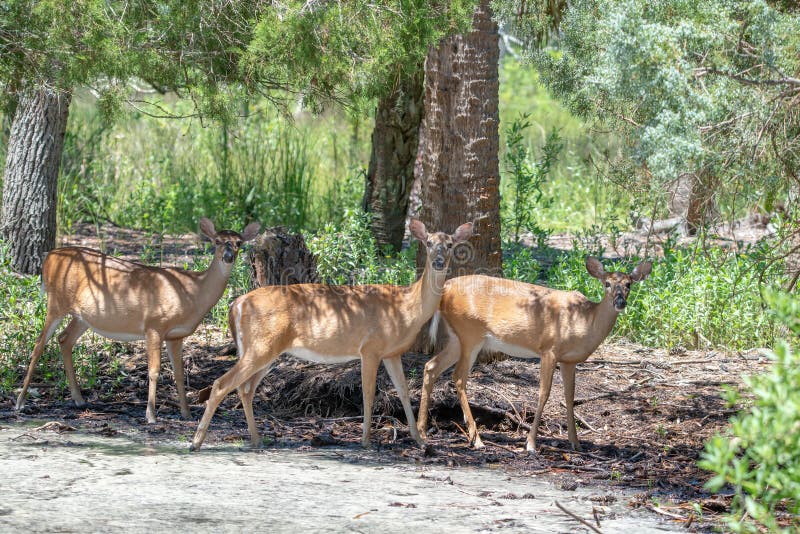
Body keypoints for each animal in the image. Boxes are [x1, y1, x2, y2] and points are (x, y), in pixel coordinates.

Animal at [14, 218, 260, 422]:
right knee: (39, 345)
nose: (228, 256)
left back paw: (79, 399)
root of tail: (49, 257)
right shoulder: (154, 325)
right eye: (217, 241)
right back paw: (20, 402)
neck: (192, 291)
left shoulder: (176, 335)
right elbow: (154, 371)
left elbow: (179, 374)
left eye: (238, 243)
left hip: (82, 316)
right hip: (56, 301)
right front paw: (150, 415)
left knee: (64, 339)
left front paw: (187, 413)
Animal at [190, 219, 472, 452]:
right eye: (428, 242)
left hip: (266, 349)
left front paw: (420, 440)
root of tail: (236, 305)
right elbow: (368, 393)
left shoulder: (392, 352)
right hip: (261, 346)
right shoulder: (370, 347)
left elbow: (403, 392)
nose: (438, 261)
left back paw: (256, 439)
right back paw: (196, 442)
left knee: (245, 388)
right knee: (222, 383)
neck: (407, 307)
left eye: (449, 244)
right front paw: (366, 440)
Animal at [416, 258, 652, 454]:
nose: (620, 302)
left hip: (458, 338)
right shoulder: (549, 350)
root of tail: (445, 288)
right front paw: (530, 444)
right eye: (607, 283)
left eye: (629, 284)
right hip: (470, 332)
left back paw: (422, 431)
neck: (585, 321)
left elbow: (570, 397)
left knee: (431, 366)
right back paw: (476, 440)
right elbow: (544, 394)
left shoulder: (569, 360)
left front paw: (575, 443)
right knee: (458, 377)